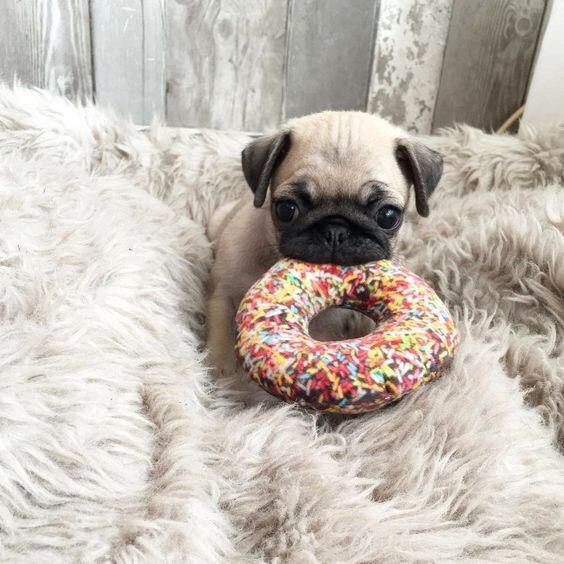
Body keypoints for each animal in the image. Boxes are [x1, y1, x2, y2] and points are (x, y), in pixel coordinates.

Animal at [205, 110, 442, 374]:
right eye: (286, 209)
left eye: (388, 216)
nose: (335, 230)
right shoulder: (223, 294)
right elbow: (220, 334)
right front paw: (222, 373)